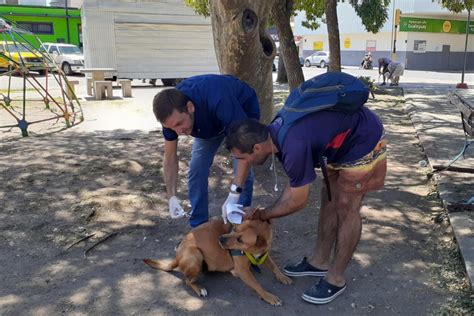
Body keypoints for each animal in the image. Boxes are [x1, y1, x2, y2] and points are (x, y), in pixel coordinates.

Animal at [143, 216, 290, 304]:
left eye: (240, 239)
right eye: (234, 228)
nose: (220, 239)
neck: (254, 250)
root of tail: (177, 256)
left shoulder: (264, 255)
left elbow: (274, 266)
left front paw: (283, 277)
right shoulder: (243, 270)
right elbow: (257, 285)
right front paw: (268, 296)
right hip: (195, 254)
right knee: (187, 280)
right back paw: (199, 289)